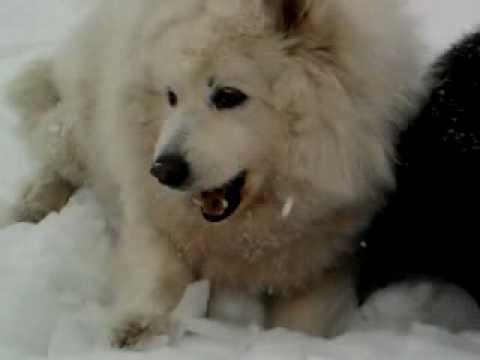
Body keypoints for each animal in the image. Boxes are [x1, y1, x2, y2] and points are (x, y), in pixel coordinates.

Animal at [6, 0, 420, 348]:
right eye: (171, 96)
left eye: (228, 96)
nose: (163, 170)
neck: (246, 232)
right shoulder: (150, 211)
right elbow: (158, 269)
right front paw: (140, 326)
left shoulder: (330, 255)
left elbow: (305, 321)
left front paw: (288, 343)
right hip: (82, 128)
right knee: (56, 153)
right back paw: (31, 206)